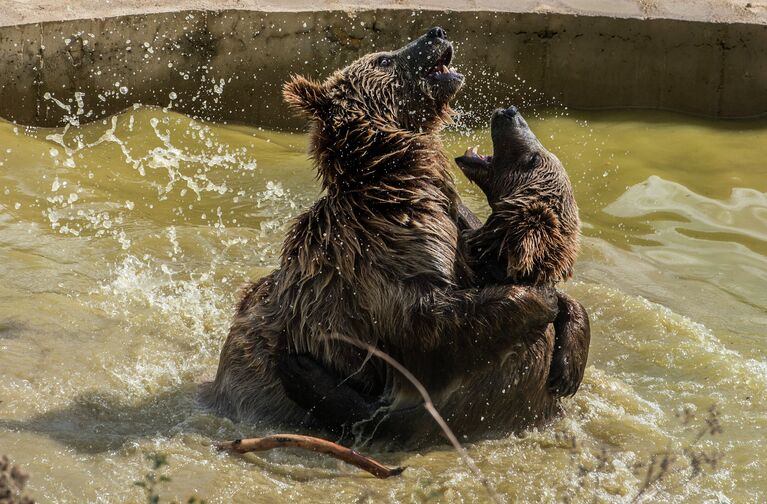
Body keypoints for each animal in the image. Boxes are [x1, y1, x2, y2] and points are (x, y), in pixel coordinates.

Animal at [207, 26, 584, 444]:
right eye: (384, 58)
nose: (436, 32)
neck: (396, 178)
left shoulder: (450, 227)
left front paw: (568, 357)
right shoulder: (381, 256)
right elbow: (430, 322)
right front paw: (542, 302)